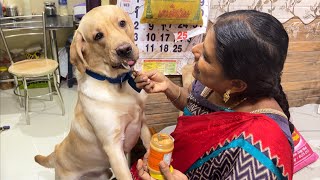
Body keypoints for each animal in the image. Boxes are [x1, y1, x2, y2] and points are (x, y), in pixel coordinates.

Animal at [35, 4, 151, 179]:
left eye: (122, 23)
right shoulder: (113, 146)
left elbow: (150, 144)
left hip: (104, 173)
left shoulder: (142, 121)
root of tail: (57, 151)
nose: (124, 50)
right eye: (98, 36)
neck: (118, 82)